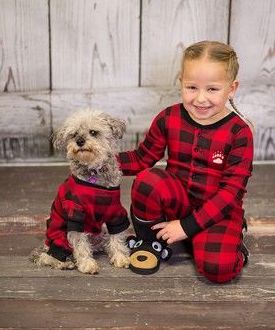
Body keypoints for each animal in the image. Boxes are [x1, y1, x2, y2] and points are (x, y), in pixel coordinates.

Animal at [31, 109, 131, 274]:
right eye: (73, 134)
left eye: (93, 132)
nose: (79, 141)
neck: (94, 171)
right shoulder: (76, 214)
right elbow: (80, 243)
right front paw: (87, 264)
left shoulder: (115, 211)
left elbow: (117, 236)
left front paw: (120, 257)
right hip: (59, 235)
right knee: (47, 256)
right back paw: (64, 263)